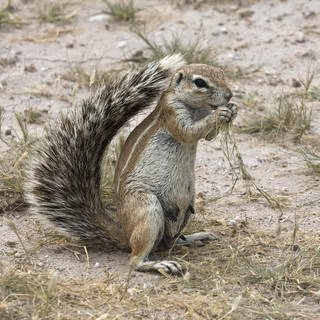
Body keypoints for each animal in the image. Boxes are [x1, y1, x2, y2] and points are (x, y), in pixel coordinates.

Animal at [25, 55, 236, 276]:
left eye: (221, 73)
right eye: (200, 83)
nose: (229, 95)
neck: (195, 108)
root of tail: (126, 234)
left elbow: (208, 136)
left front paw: (232, 111)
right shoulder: (171, 113)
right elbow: (188, 132)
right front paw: (220, 114)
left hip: (185, 210)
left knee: (169, 242)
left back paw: (196, 237)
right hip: (147, 209)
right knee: (135, 260)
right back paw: (160, 264)